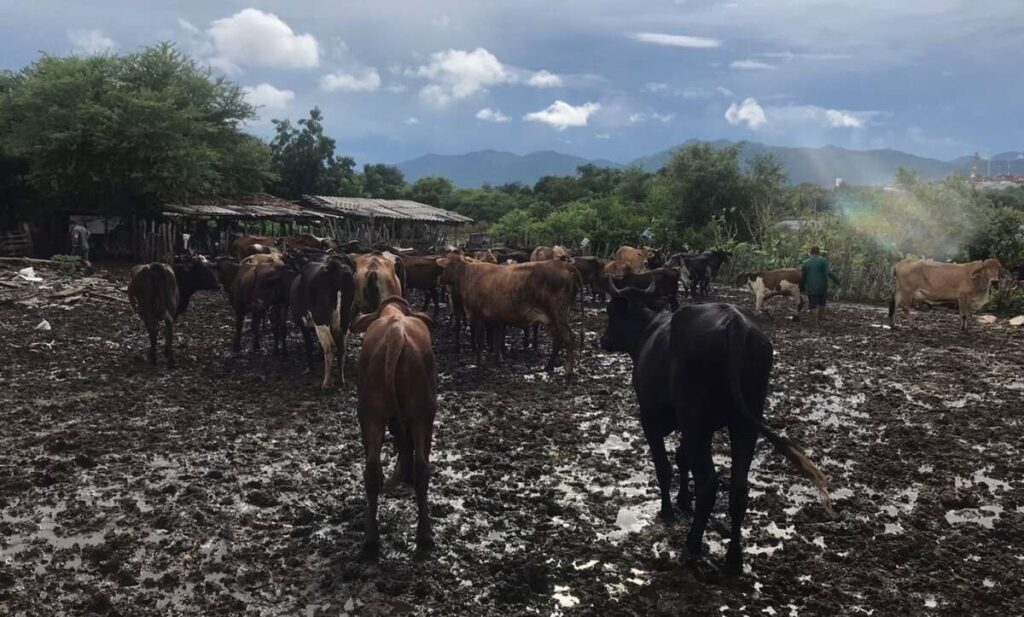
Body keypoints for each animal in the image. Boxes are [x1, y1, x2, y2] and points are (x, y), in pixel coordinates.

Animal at [350, 296, 438, 560]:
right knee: (422, 466)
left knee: (371, 470)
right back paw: (424, 535)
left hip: (370, 414)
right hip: (423, 413)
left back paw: (370, 538)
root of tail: (396, 333)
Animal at [438, 253, 585, 378]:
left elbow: (480, 342)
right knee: (557, 339)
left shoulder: (477, 315)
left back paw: (567, 370)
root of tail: (564, 265)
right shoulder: (496, 319)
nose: (440, 279)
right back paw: (548, 366)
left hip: (559, 314)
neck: (468, 275)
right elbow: (497, 341)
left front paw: (478, 365)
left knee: (569, 338)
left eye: (444, 268)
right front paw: (499, 362)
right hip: (550, 319)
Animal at [598, 282, 831, 577]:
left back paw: (692, 545)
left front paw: (668, 510)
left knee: (708, 483)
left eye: (610, 312)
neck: (647, 331)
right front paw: (684, 500)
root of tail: (736, 324)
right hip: (743, 424)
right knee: (738, 489)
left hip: (698, 421)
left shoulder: (651, 419)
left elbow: (665, 467)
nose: (603, 340)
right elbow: (682, 458)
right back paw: (734, 558)